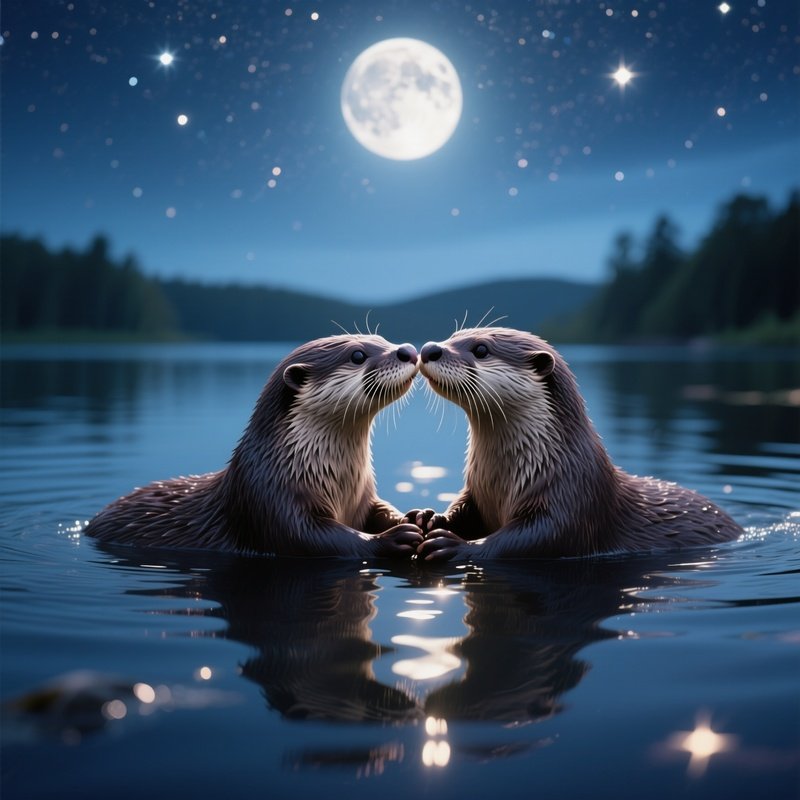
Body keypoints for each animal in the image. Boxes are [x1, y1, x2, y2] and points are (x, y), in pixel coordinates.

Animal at [84, 335, 424, 558]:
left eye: (382, 338)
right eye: (357, 355)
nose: (408, 350)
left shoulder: (363, 496)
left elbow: (379, 508)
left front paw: (419, 517)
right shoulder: (269, 500)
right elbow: (313, 538)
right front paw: (390, 539)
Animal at [409, 327, 742, 561]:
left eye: (481, 349)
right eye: (453, 336)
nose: (430, 348)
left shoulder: (572, 499)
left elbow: (531, 540)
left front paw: (456, 546)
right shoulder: (477, 492)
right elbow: (464, 509)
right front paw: (428, 517)